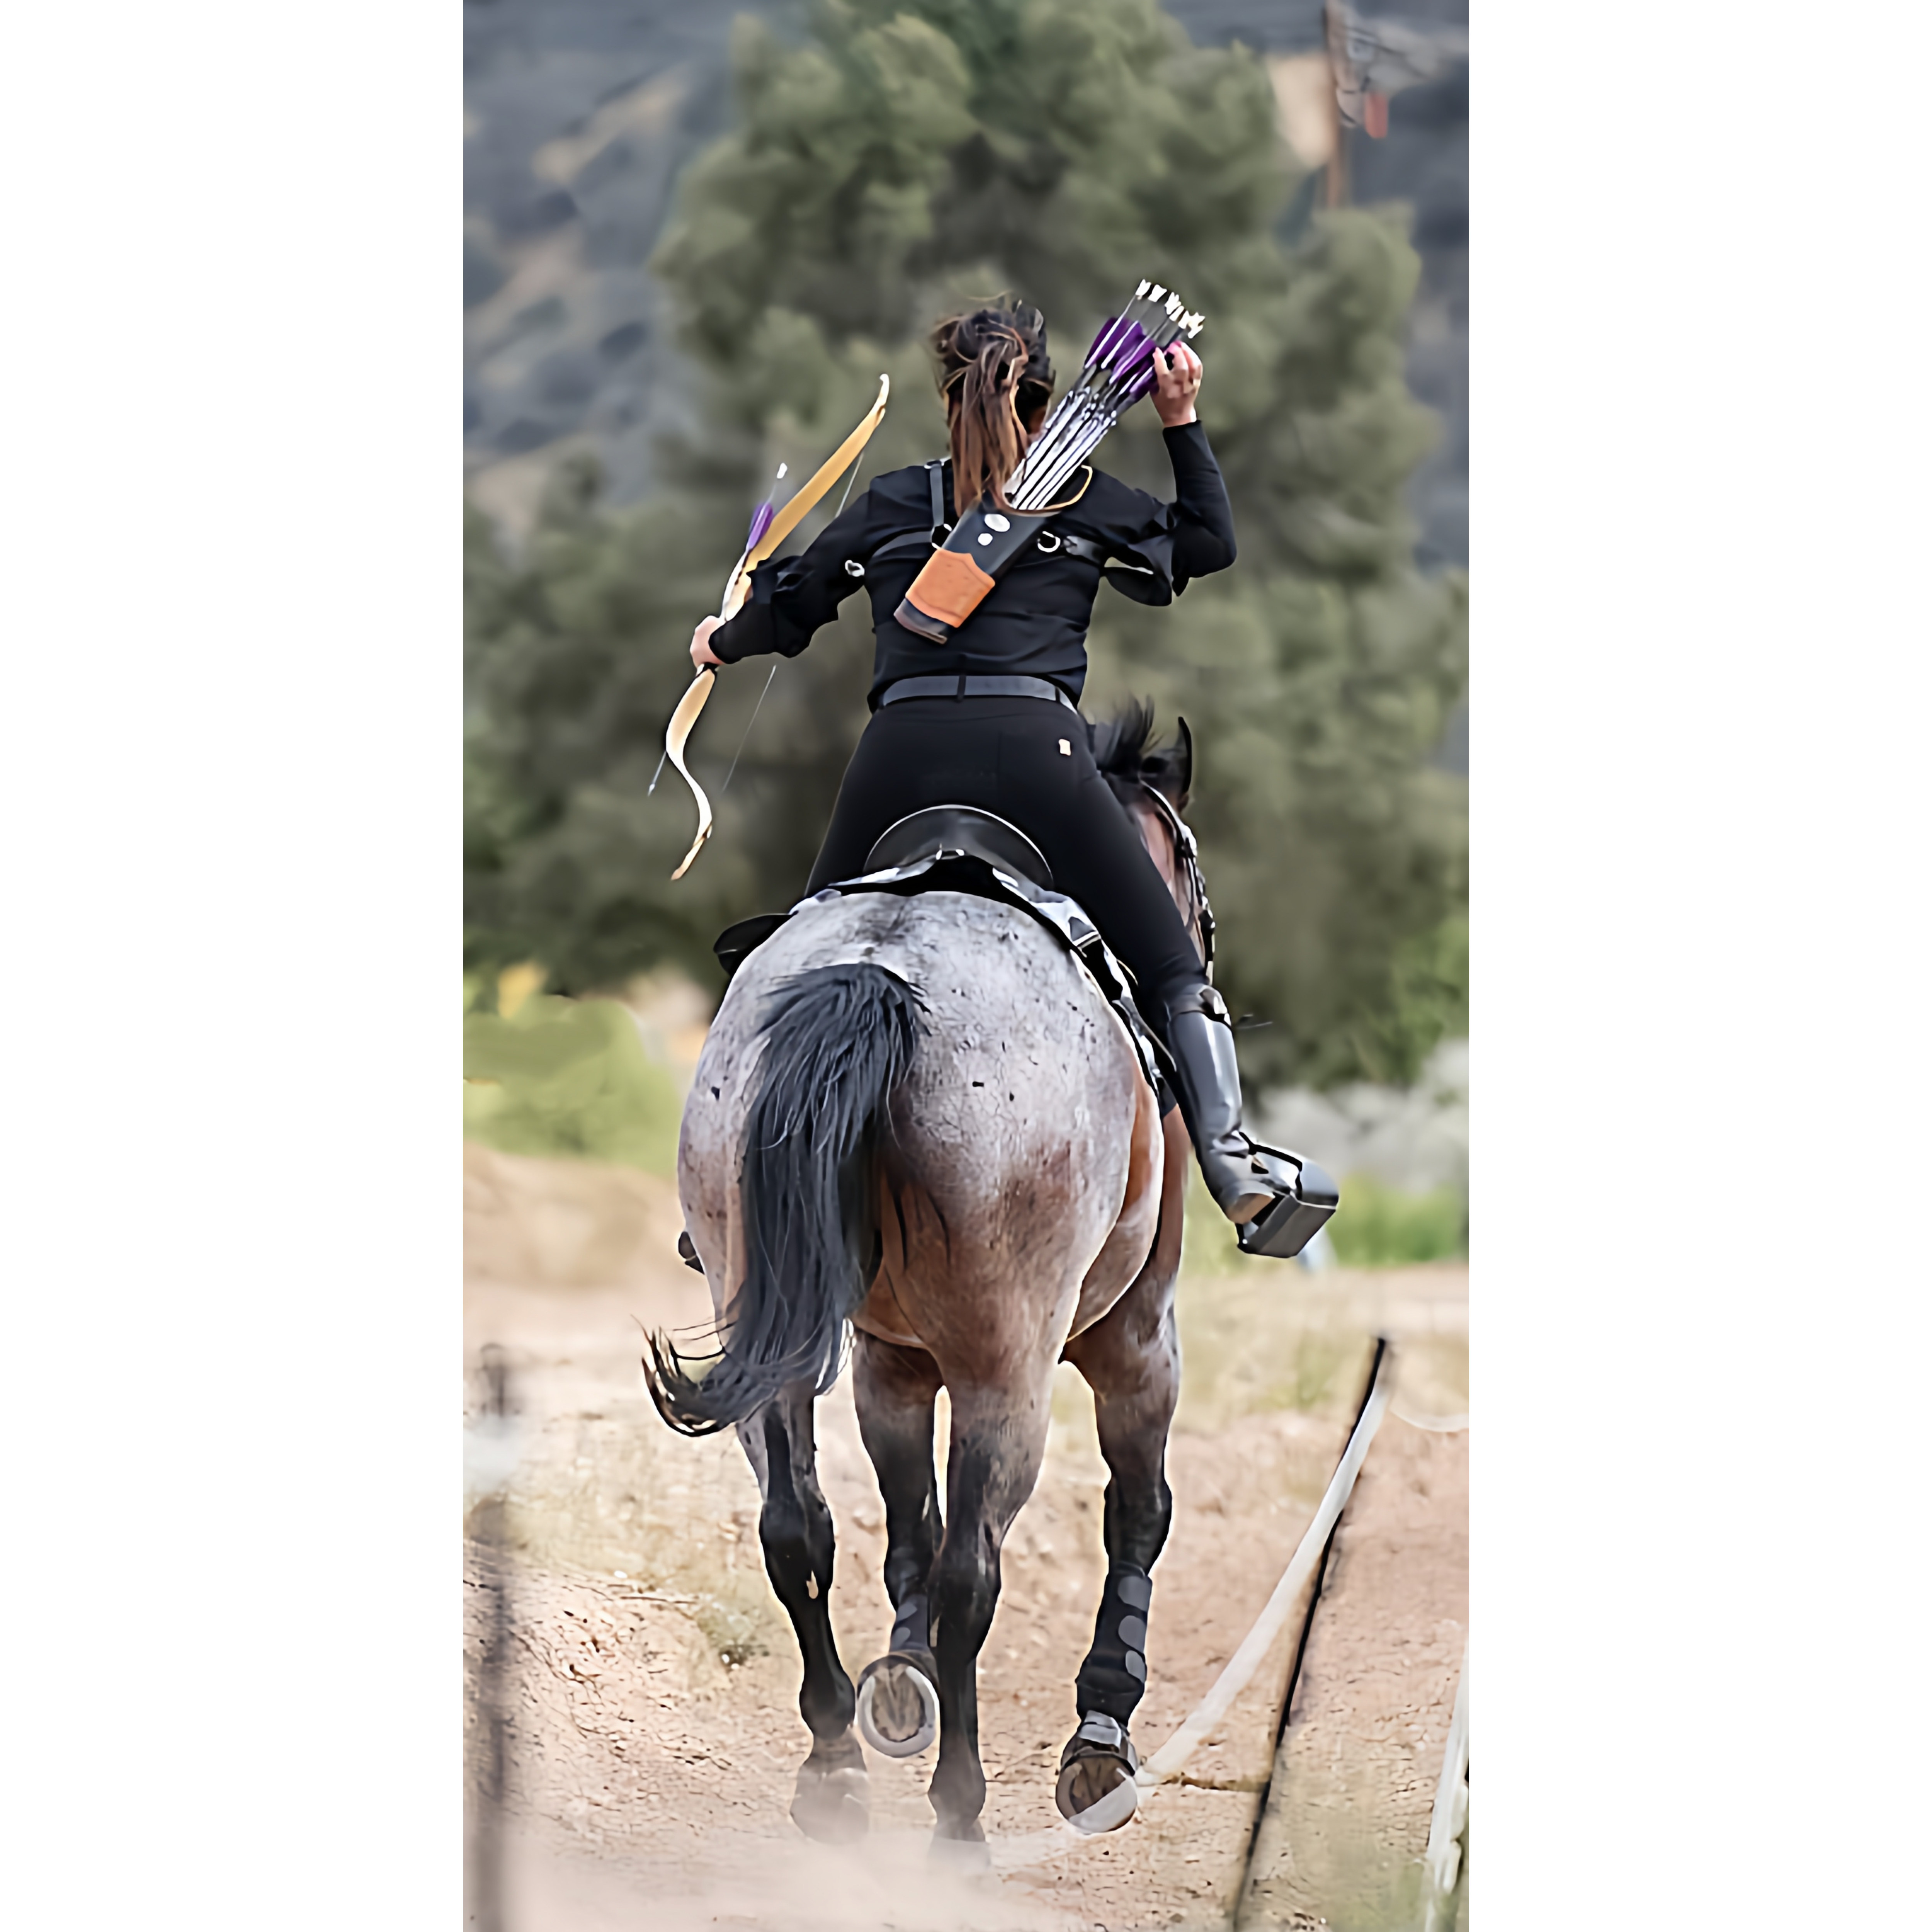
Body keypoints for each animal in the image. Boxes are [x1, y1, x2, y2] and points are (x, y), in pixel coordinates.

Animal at [646, 704, 1210, 1857]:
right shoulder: (1138, 1343)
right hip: (1011, 1370)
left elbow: (900, 1519)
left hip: (773, 1341)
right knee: (972, 1571)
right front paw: (1101, 1733)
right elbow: (1136, 1511)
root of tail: (882, 973)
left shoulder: (890, 1361)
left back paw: (833, 1770)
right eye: (1184, 859)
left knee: (797, 1529)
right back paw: (960, 1819)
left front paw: (898, 1683)